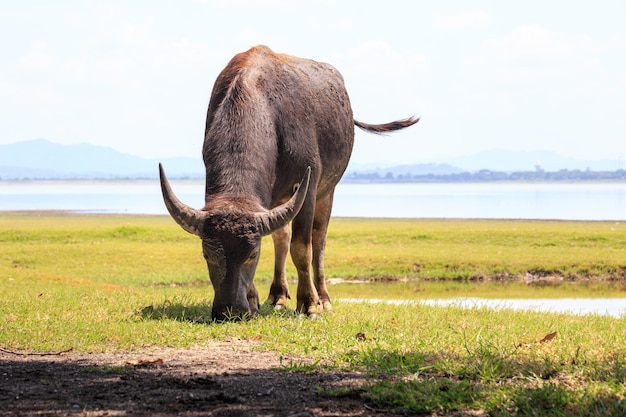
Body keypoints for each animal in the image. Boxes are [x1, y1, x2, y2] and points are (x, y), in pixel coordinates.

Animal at [158, 44, 416, 318]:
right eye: (207, 254)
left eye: (252, 254)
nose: (230, 310)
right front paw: (254, 299)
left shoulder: (307, 187)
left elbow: (302, 248)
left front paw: (310, 304)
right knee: (281, 239)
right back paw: (278, 295)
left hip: (327, 191)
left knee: (319, 241)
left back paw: (324, 299)